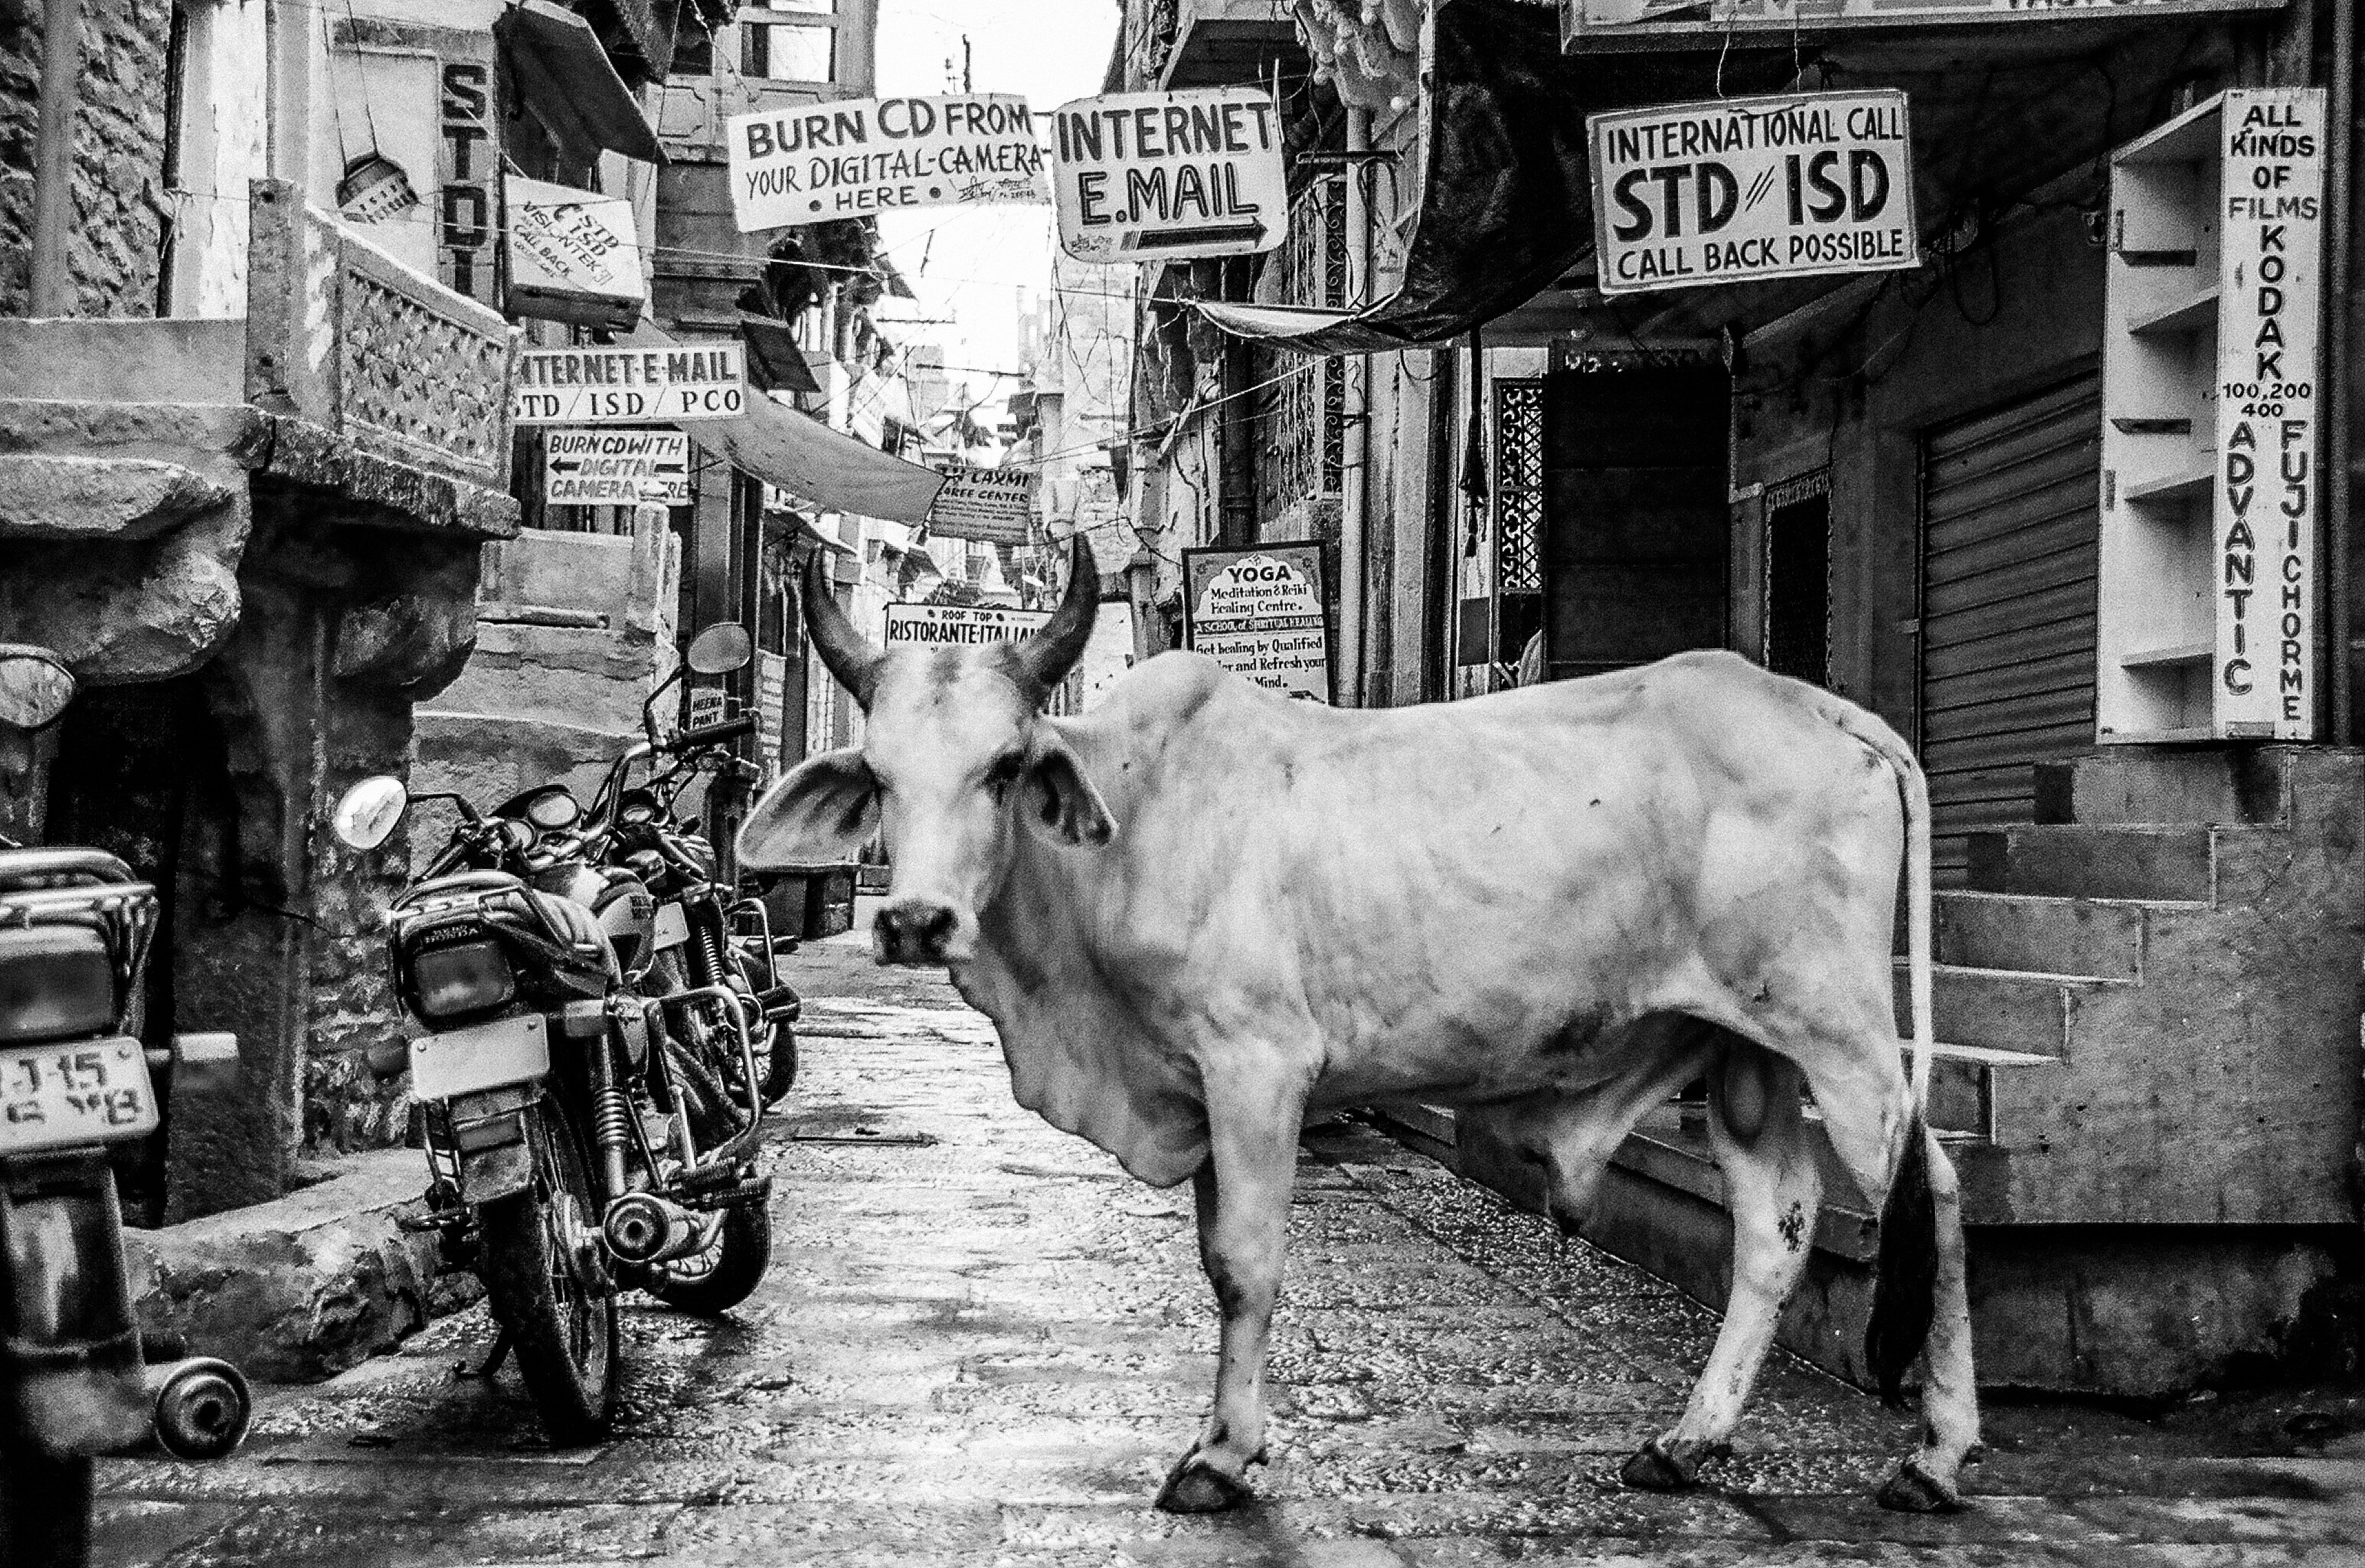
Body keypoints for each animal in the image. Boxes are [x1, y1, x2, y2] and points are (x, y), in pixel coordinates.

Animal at [741, 536, 1979, 1516]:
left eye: (1003, 768)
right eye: (880, 775)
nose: (912, 920)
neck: (1130, 827)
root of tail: (1819, 708)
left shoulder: (1256, 1067)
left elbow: (1245, 1263)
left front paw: (1222, 1460)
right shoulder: (1199, 1085)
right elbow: (1215, 1259)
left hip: (1842, 1033)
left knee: (1935, 1190)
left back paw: (1935, 1459)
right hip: (1747, 1048)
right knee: (1777, 1220)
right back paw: (1688, 1442)